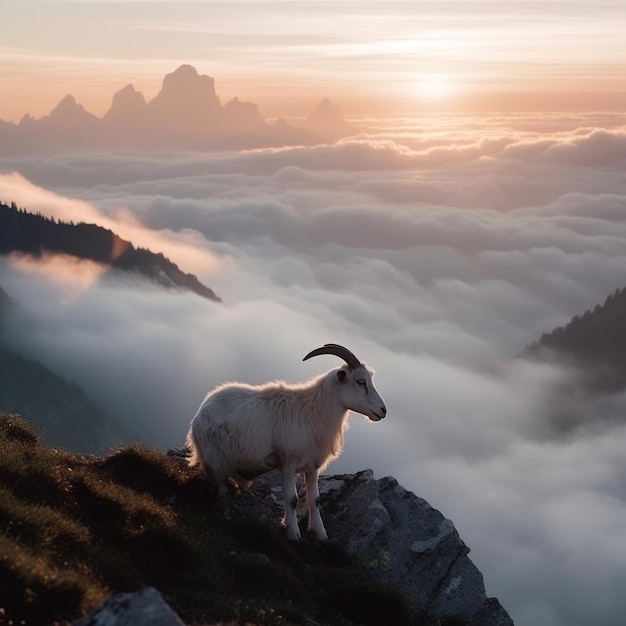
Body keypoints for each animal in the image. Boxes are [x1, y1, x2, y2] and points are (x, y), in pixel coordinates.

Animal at [185, 344, 382, 540]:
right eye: (360, 382)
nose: (383, 410)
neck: (312, 411)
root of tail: (200, 410)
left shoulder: (312, 465)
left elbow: (315, 500)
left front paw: (319, 533)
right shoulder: (288, 462)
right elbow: (292, 499)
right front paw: (293, 533)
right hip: (214, 455)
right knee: (219, 480)